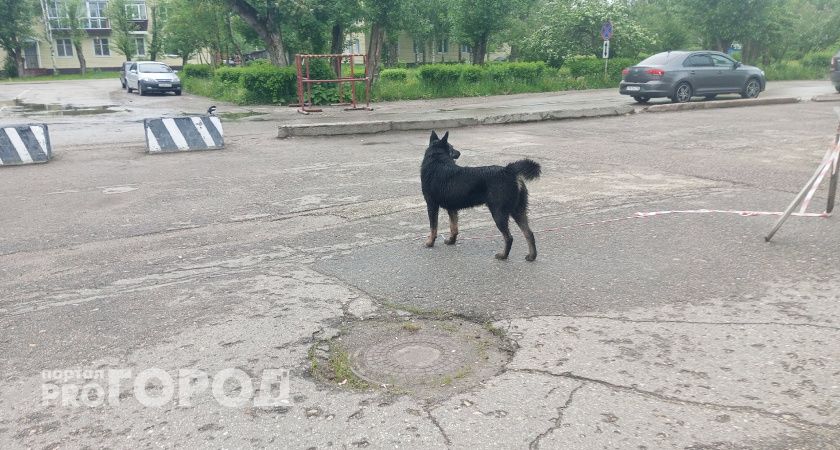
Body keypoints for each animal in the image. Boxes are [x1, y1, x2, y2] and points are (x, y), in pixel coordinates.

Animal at [424, 131, 540, 260]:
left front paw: (430, 242)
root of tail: (508, 171)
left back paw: (503, 255)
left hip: (499, 213)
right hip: (518, 210)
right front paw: (451, 241)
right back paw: (532, 256)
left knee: (509, 237)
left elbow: (433, 228)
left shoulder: (432, 205)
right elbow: (454, 227)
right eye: (451, 148)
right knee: (529, 233)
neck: (437, 160)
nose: (459, 153)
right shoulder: (452, 208)